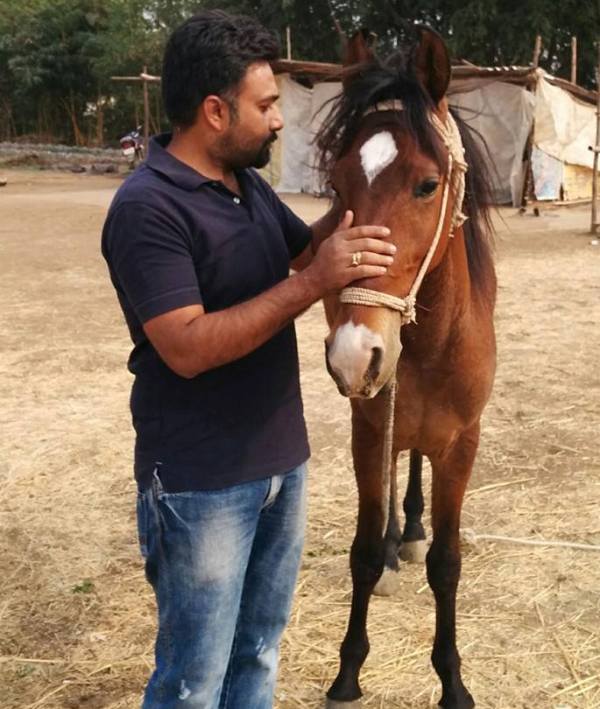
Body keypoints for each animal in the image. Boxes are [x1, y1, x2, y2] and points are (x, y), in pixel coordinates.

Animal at [314, 27, 497, 709]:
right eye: (338, 184)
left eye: (427, 184)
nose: (354, 353)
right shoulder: (367, 434)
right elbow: (364, 553)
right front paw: (347, 675)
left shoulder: (461, 444)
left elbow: (448, 561)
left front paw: (453, 682)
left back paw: (411, 532)